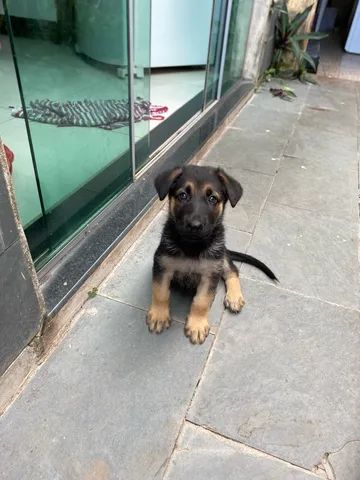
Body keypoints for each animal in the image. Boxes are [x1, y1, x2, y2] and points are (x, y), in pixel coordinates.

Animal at [146, 165, 276, 344]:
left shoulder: (210, 274)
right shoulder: (163, 265)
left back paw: (234, 297)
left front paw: (197, 324)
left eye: (212, 198)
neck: (192, 247)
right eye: (183, 195)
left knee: (232, 271)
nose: (195, 226)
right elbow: (160, 292)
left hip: (222, 257)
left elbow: (201, 301)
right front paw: (159, 315)